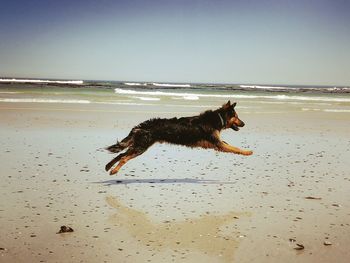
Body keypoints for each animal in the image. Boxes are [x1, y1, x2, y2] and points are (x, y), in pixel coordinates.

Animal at [105, 101, 253, 175]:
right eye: (237, 116)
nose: (244, 124)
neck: (218, 118)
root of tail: (142, 125)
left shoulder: (215, 143)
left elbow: (229, 145)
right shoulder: (218, 143)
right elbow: (235, 148)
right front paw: (247, 152)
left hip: (139, 145)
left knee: (121, 154)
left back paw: (108, 166)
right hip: (141, 147)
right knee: (124, 157)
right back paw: (114, 170)